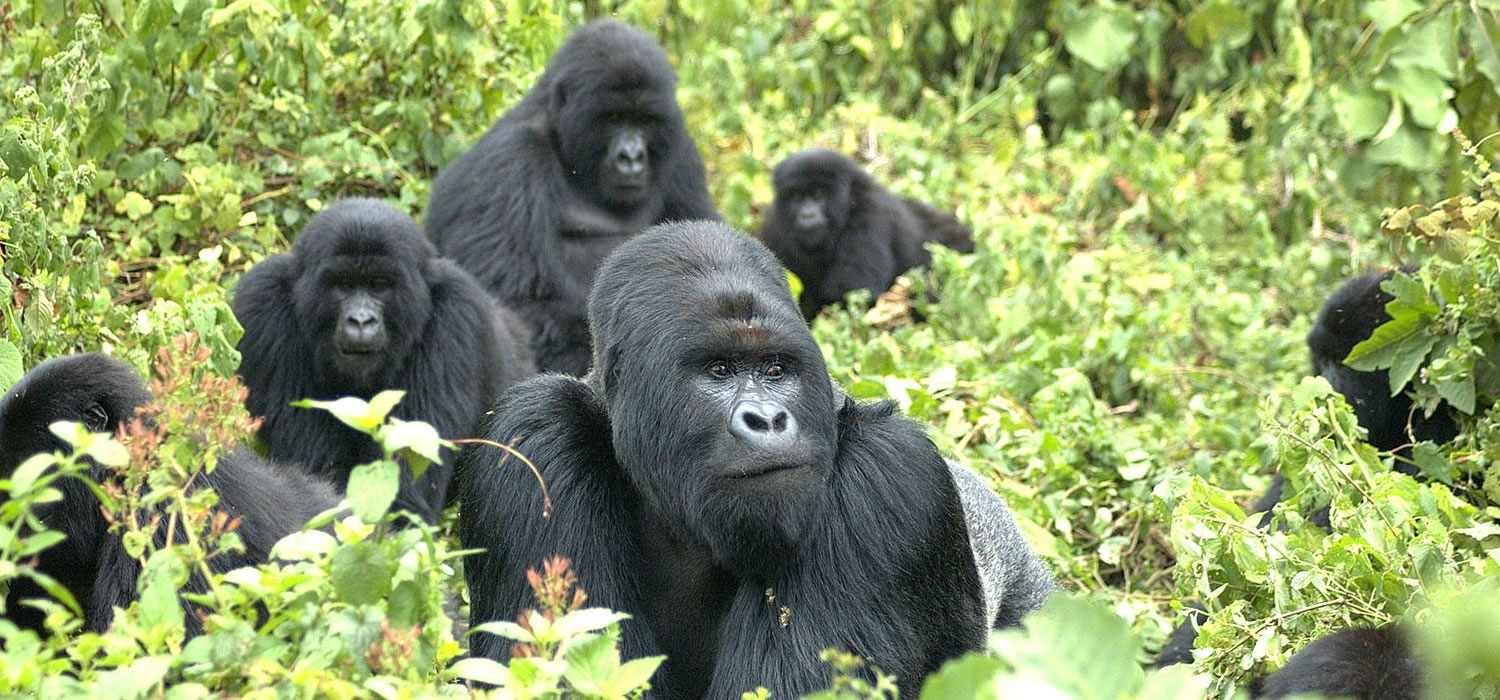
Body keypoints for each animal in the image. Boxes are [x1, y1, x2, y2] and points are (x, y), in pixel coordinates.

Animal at [234, 199, 534, 527]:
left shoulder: (457, 315)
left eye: (379, 285)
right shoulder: (263, 305)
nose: (361, 321)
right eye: (343, 285)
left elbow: (403, 495)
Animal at [426, 19, 723, 374]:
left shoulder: (681, 153)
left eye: (645, 121)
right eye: (612, 118)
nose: (632, 157)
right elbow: (522, 303)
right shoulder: (507, 162)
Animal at [756, 150, 978, 323]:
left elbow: (853, 292)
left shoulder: (869, 214)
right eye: (798, 197)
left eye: (818, 195)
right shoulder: (773, 227)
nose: (807, 215)